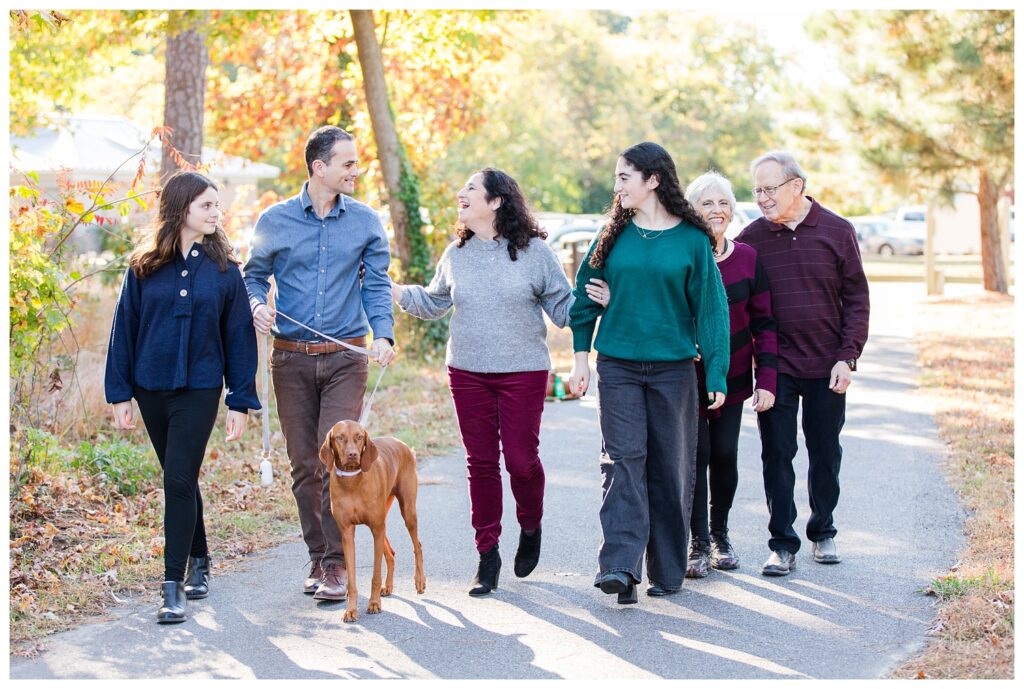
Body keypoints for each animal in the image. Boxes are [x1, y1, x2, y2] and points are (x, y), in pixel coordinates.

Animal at [317, 415, 425, 622]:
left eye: (359, 437)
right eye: (340, 437)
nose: (352, 454)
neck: (352, 481)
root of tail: (403, 445)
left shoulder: (375, 528)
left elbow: (375, 574)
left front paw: (374, 604)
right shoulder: (347, 534)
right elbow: (351, 580)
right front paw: (351, 610)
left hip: (407, 512)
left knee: (418, 546)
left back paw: (420, 581)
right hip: (383, 521)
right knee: (391, 553)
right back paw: (389, 586)